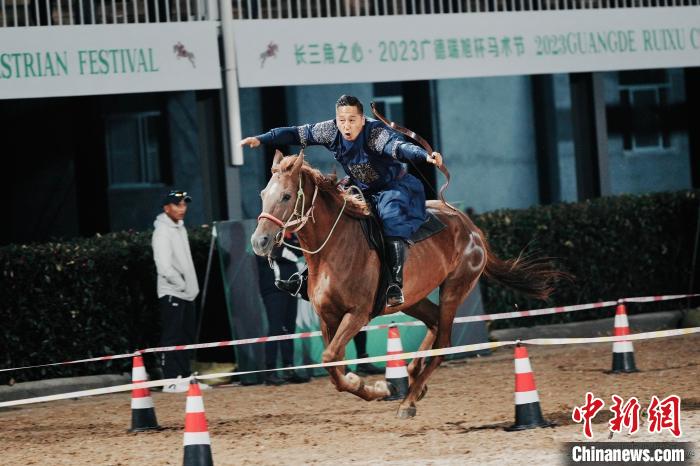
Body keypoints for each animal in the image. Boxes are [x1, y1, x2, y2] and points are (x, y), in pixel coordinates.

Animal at [252, 150, 564, 418]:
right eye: (263, 194)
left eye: (286, 195)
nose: (259, 241)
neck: (335, 247)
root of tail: (471, 227)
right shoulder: (327, 316)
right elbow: (333, 366)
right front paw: (376, 387)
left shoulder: (357, 314)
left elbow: (331, 358)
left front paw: (378, 387)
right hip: (412, 299)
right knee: (434, 323)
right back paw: (414, 377)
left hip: (453, 290)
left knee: (443, 341)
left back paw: (409, 400)